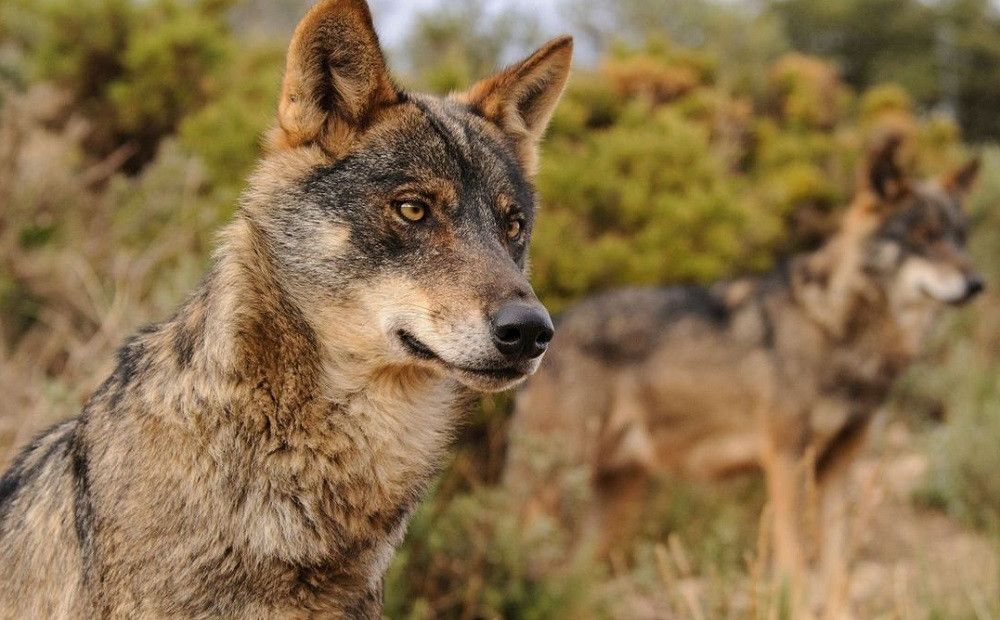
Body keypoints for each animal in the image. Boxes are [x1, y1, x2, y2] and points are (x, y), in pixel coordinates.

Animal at [506, 136, 982, 609]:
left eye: (960, 238)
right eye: (924, 237)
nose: (978, 283)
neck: (836, 327)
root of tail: (552, 328)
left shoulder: (838, 469)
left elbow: (838, 575)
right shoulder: (786, 461)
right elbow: (796, 568)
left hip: (614, 501)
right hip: (550, 490)